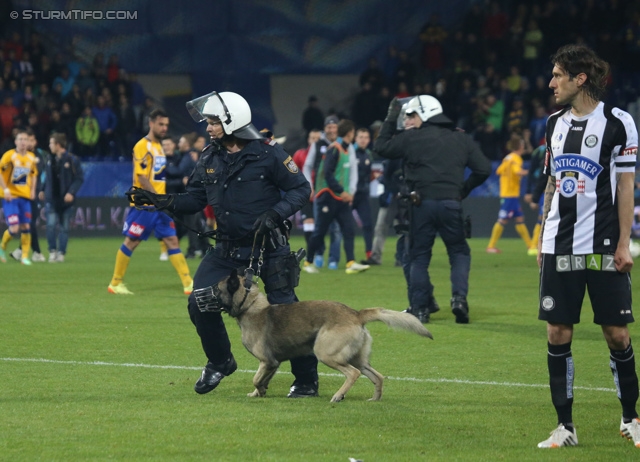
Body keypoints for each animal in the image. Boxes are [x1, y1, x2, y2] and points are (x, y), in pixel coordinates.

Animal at [218, 268, 432, 402]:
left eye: (215, 290)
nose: (206, 293)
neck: (250, 306)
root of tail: (356, 314)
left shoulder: (267, 361)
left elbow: (256, 378)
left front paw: (260, 390)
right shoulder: (272, 364)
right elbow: (262, 380)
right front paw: (259, 393)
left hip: (326, 354)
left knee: (352, 374)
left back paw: (338, 396)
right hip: (358, 359)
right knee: (377, 376)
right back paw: (375, 399)